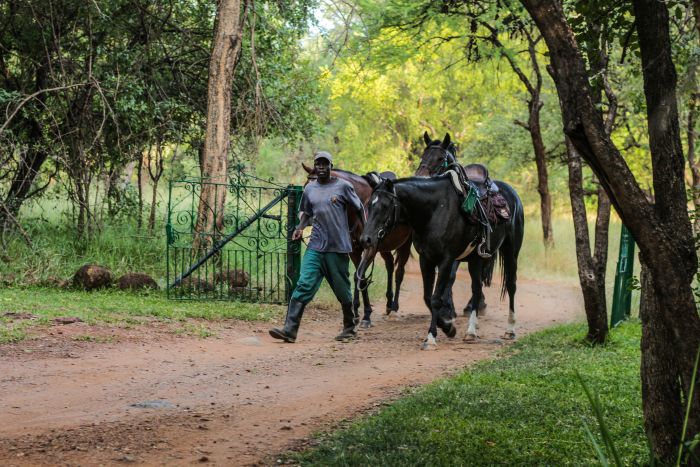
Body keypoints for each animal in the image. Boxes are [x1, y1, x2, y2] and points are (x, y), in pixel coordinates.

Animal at [301, 163, 412, 328]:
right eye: (305, 189)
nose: (308, 217)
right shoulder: (355, 251)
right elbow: (361, 277)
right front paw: (360, 313)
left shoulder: (369, 248)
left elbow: (358, 276)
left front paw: (364, 315)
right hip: (383, 247)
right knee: (390, 265)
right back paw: (388, 303)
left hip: (405, 244)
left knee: (399, 273)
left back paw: (394, 307)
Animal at [359, 169, 524, 350]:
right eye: (369, 205)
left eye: (384, 206)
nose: (366, 239)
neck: (434, 211)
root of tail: (512, 194)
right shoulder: (426, 259)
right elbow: (427, 297)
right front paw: (448, 327)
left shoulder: (446, 260)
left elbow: (436, 298)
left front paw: (432, 337)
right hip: (476, 259)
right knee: (476, 288)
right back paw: (471, 331)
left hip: (511, 251)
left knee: (511, 286)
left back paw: (510, 329)